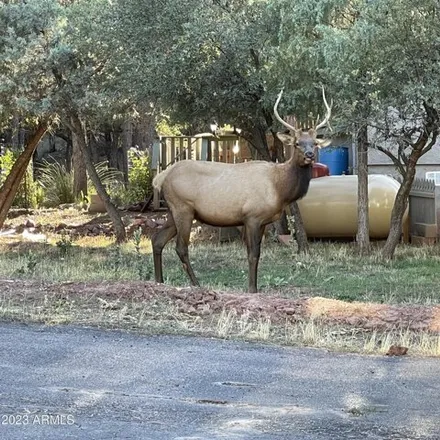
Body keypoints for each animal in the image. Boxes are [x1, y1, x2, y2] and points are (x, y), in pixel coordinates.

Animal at [150, 87, 330, 292]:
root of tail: (161, 178)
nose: (309, 155)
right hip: (183, 208)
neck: (279, 189)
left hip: (173, 211)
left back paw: (159, 281)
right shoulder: (252, 216)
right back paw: (196, 284)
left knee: (157, 240)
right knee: (180, 247)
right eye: (297, 143)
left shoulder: (263, 221)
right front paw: (252, 289)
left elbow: (257, 254)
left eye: (315, 143)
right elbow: (253, 254)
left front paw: (255, 287)